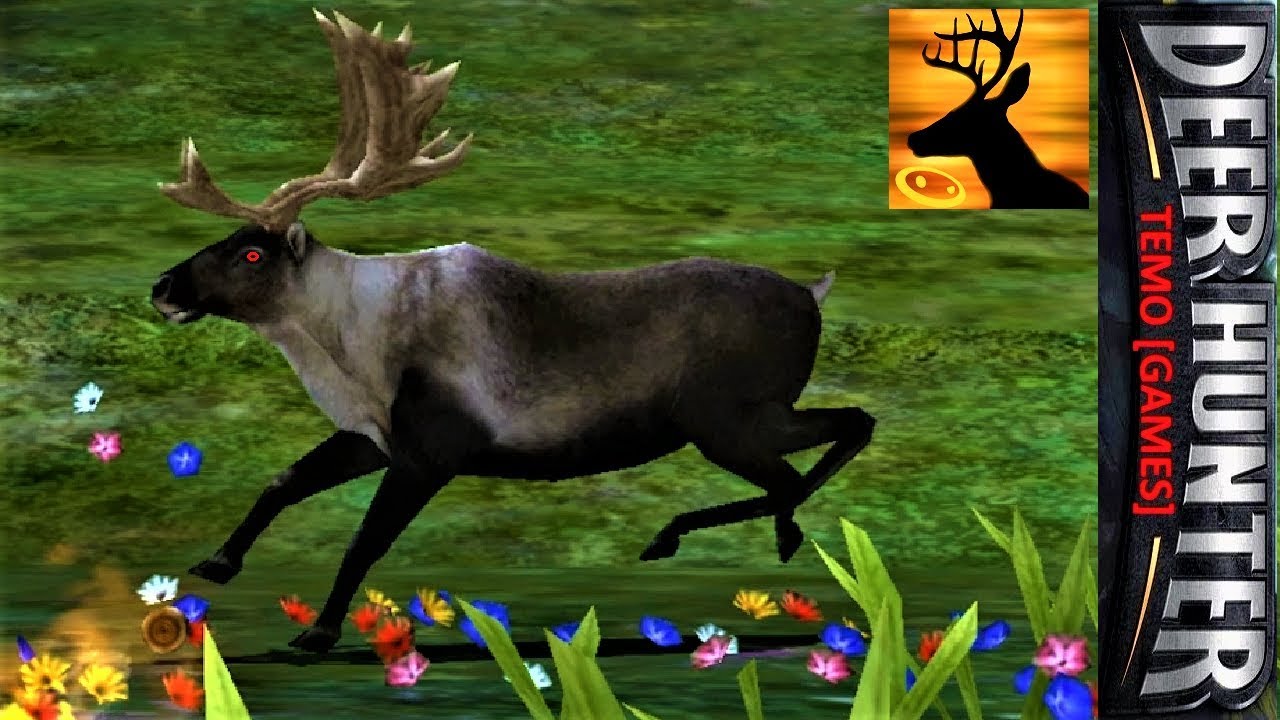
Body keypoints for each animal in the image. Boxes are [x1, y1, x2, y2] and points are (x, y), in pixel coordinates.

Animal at [149, 10, 876, 653]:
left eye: (251, 254)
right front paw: (216, 563)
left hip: (728, 418)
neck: (353, 351)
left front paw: (317, 634)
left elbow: (365, 540)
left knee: (835, 440)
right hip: (737, 421)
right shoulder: (372, 439)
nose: (162, 288)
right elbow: (282, 481)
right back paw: (765, 535)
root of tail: (812, 295)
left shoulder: (432, 451)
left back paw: (695, 535)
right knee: (812, 458)